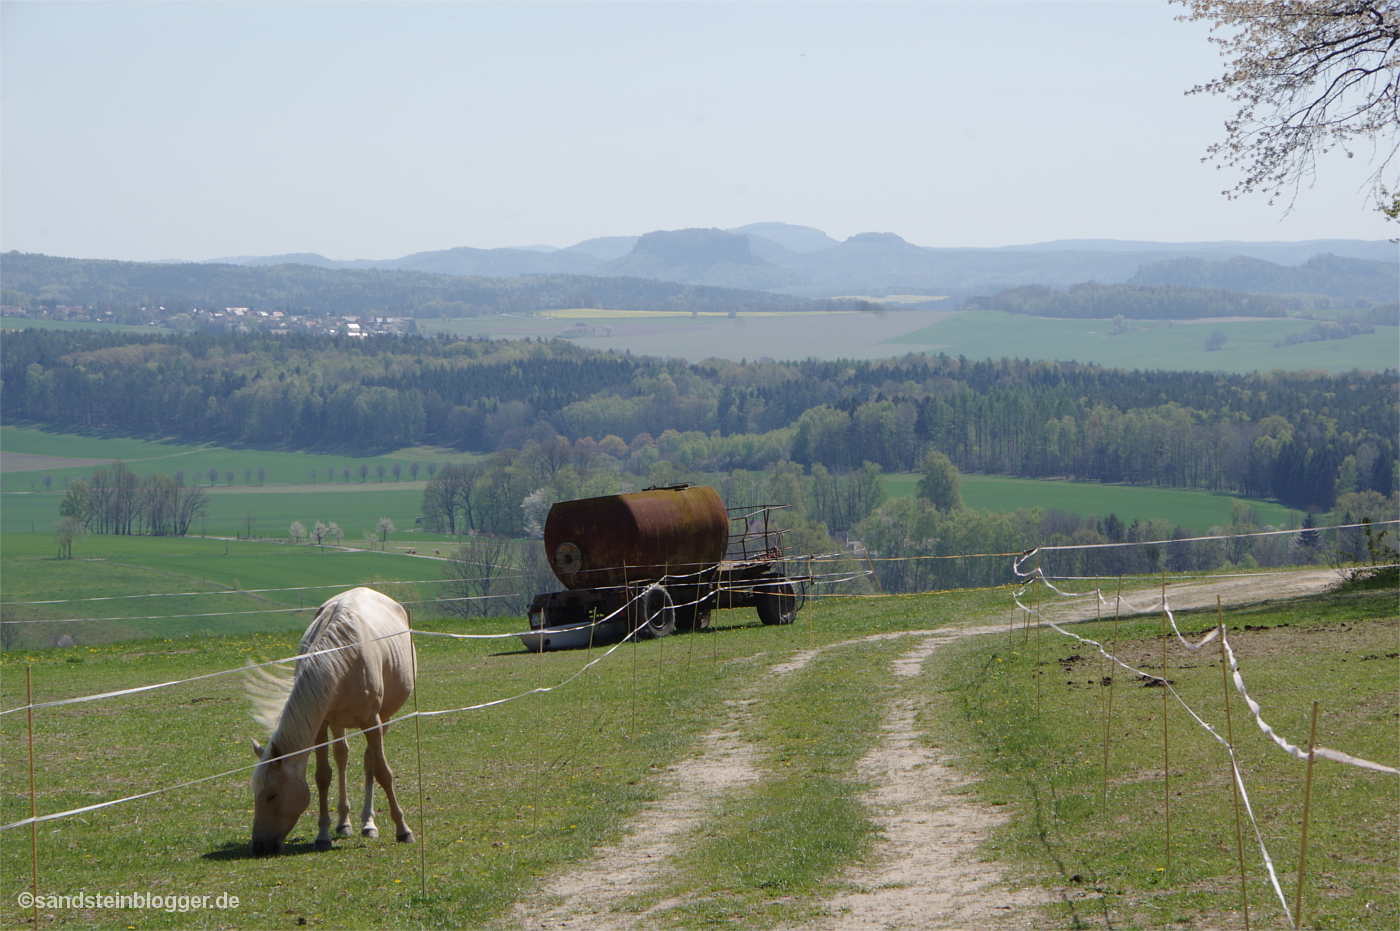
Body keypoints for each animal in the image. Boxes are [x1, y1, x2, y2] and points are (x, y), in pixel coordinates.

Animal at [247, 585, 414, 851]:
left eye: (272, 795)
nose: (259, 846)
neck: (343, 656)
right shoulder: (321, 725)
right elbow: (323, 776)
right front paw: (323, 835)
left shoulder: (373, 722)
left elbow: (383, 773)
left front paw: (403, 830)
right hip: (337, 723)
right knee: (342, 757)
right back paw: (344, 823)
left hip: (384, 717)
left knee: (369, 762)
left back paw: (368, 824)